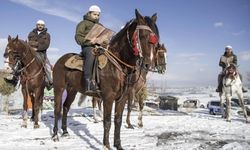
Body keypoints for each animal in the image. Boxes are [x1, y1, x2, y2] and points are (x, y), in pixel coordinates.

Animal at [51, 9, 159, 149]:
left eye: (155, 39)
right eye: (142, 35)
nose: (147, 65)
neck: (118, 66)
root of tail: (60, 60)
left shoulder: (122, 98)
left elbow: (118, 120)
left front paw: (118, 145)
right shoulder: (108, 98)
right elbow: (107, 121)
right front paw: (106, 145)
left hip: (72, 90)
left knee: (65, 107)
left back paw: (64, 131)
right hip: (59, 88)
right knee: (57, 110)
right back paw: (55, 135)